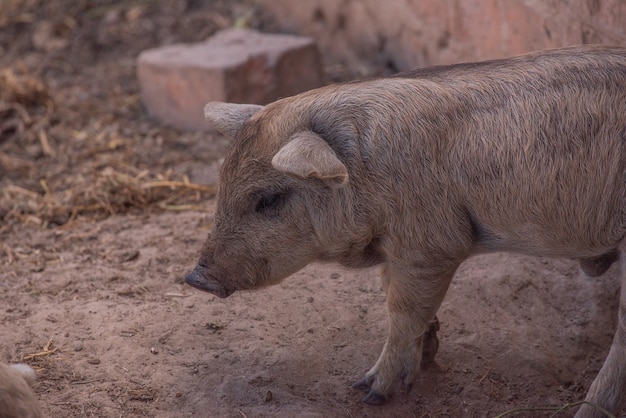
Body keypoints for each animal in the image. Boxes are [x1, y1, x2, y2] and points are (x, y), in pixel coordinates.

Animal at [185, 44, 624, 416]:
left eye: (267, 200)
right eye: (222, 181)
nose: (195, 277)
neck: (364, 174)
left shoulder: (432, 245)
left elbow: (403, 310)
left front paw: (369, 393)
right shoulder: (398, 248)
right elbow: (391, 293)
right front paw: (422, 362)